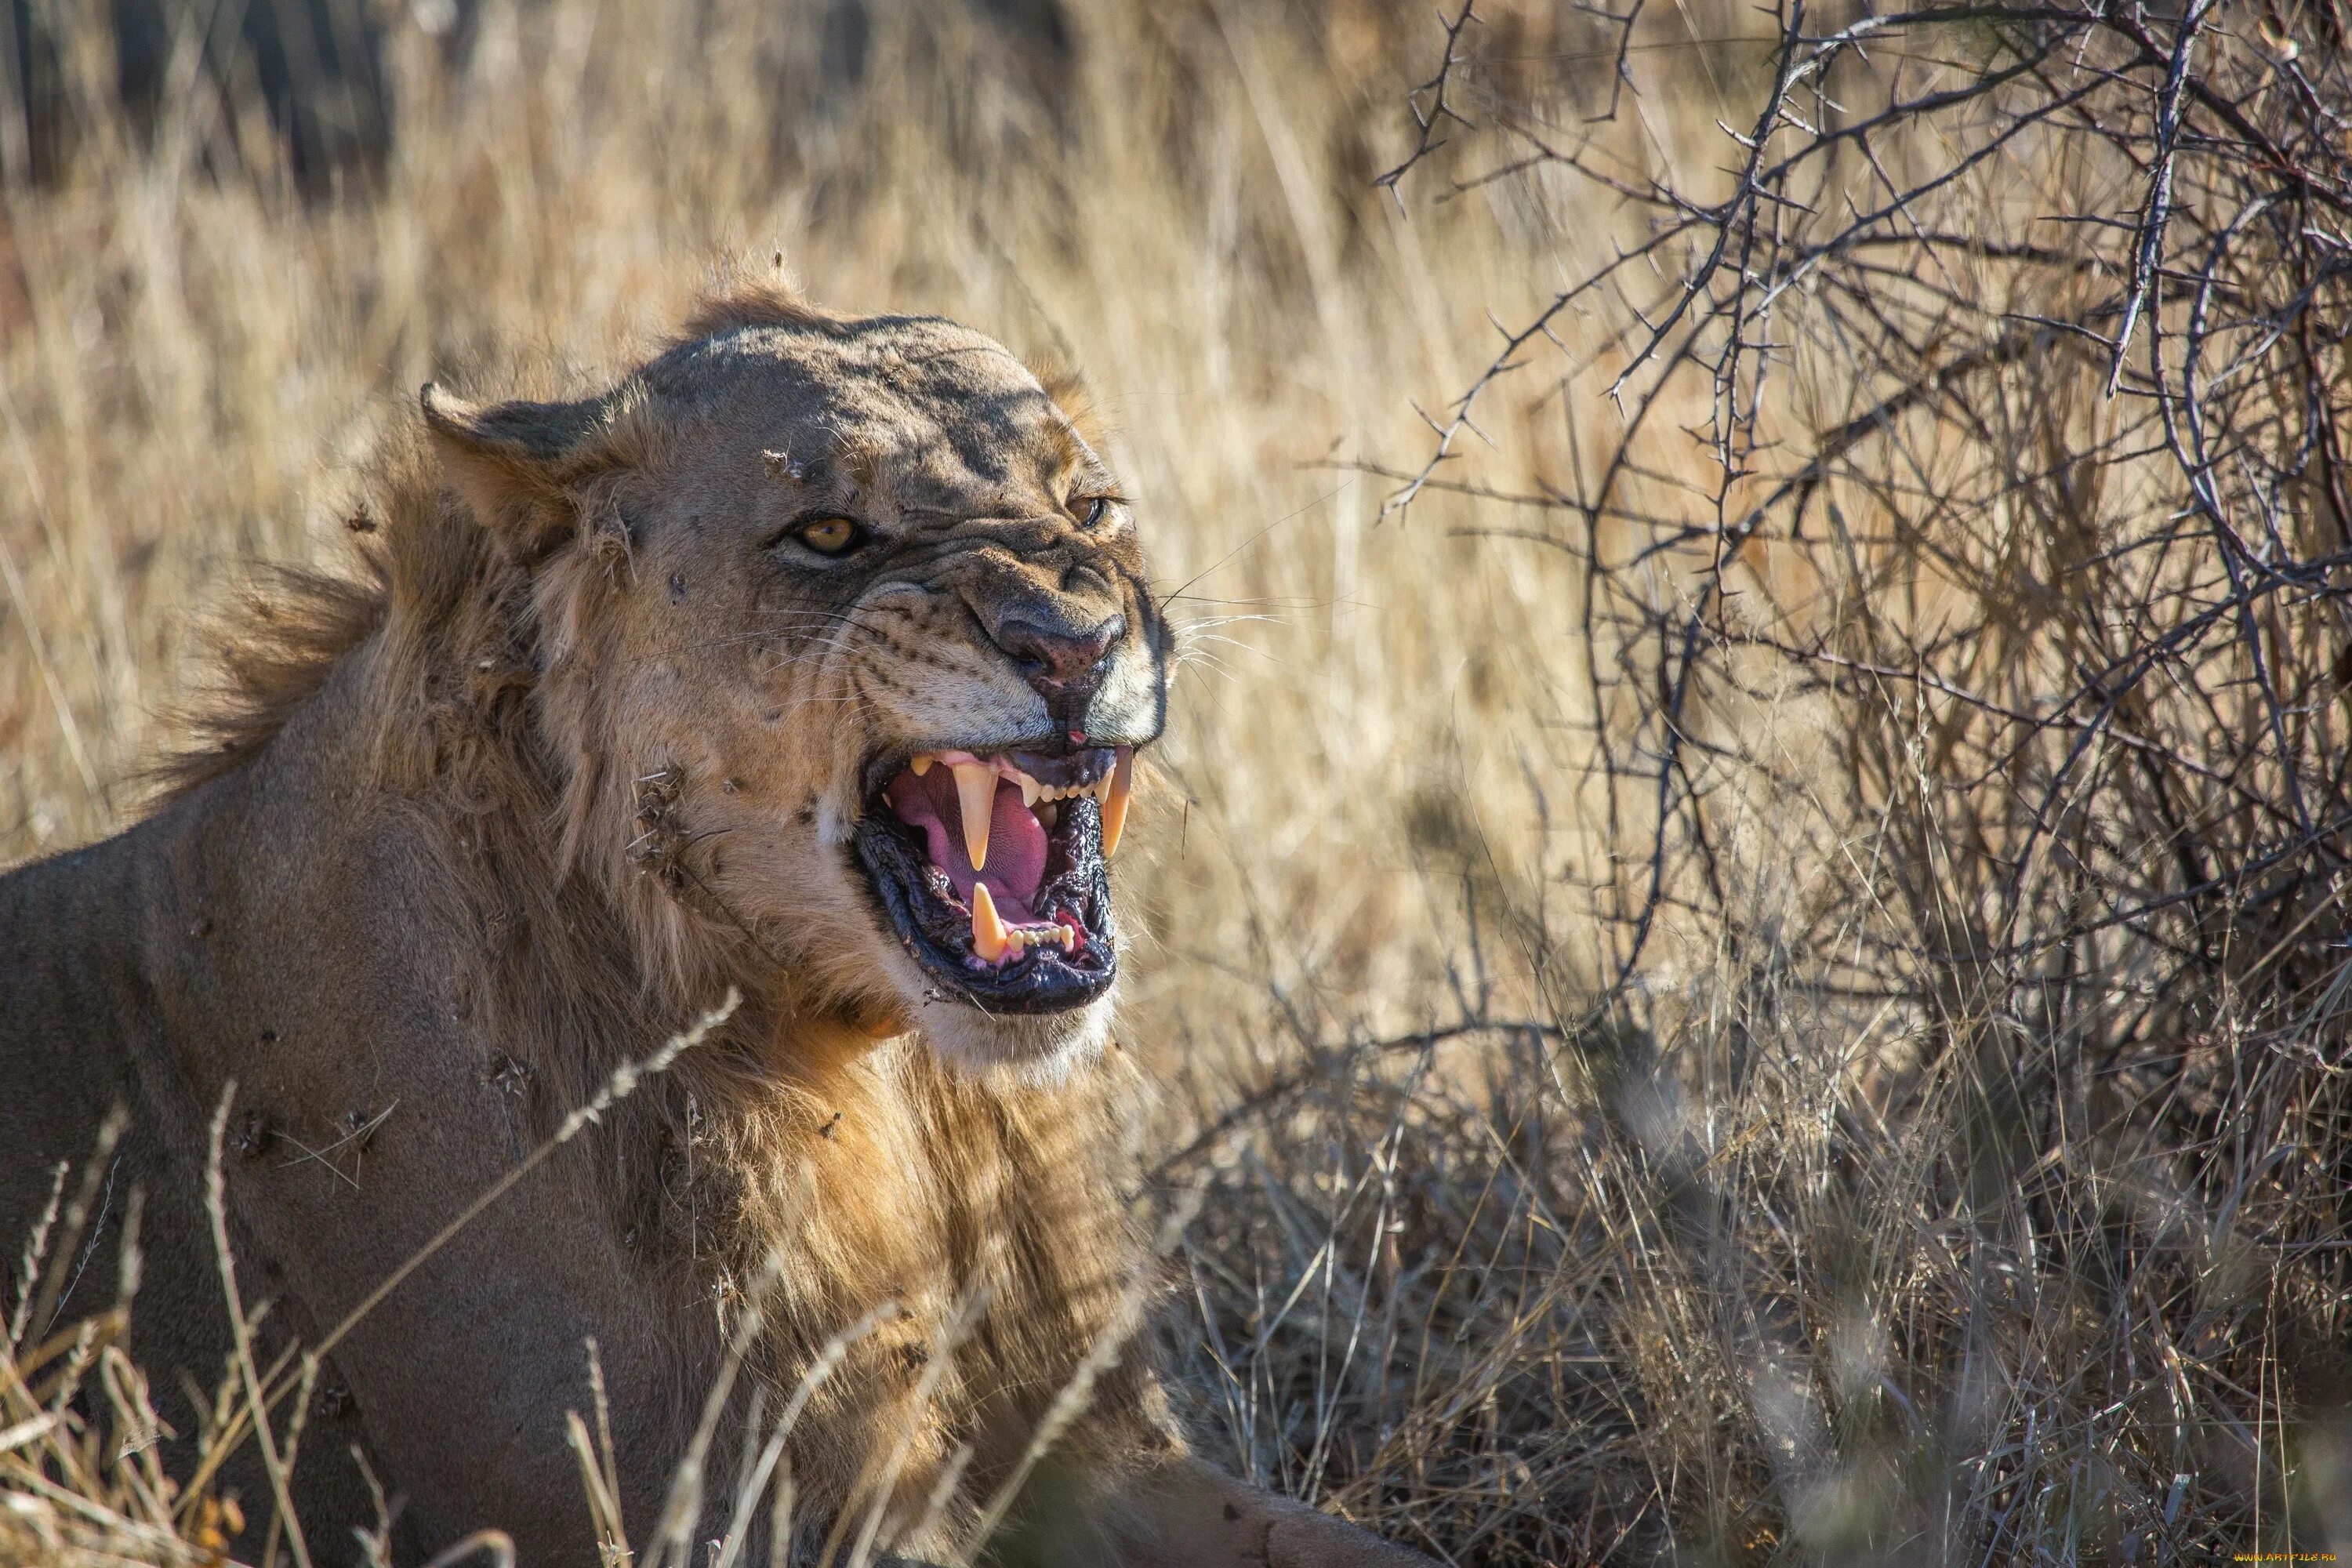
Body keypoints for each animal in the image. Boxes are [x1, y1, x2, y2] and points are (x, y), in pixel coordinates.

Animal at [0, 293, 1430, 1568]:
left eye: (1088, 509)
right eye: (830, 532)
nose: (1074, 643)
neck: (894, 1085)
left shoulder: (1097, 1456)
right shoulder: (749, 1517)